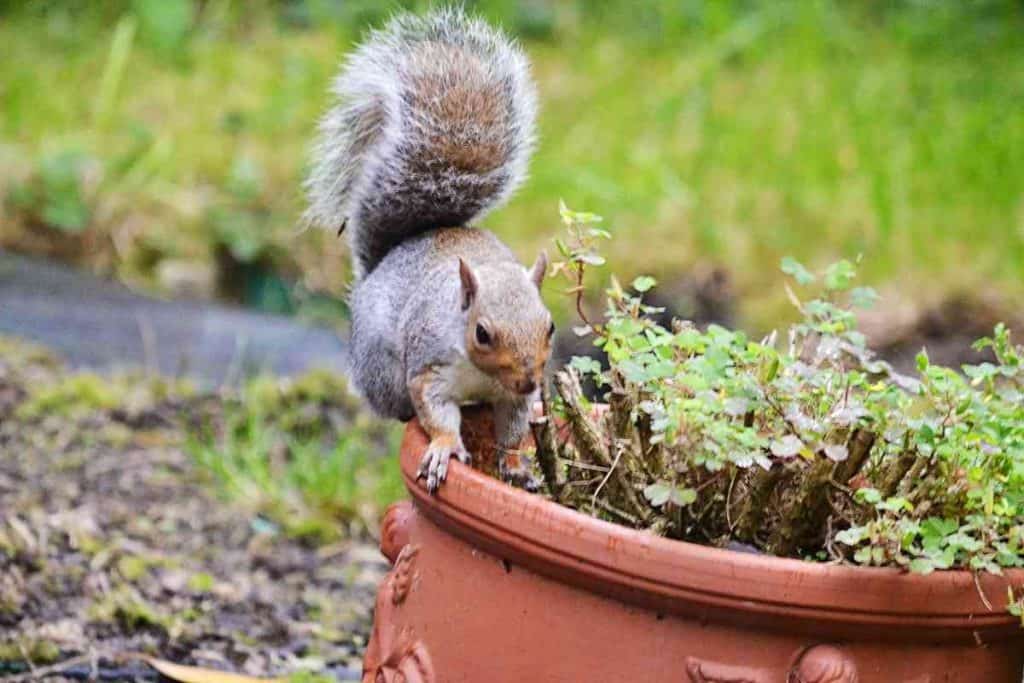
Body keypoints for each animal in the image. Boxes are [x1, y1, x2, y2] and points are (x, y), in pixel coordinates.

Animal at [303, 7, 552, 493]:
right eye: (482, 334)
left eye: (550, 326)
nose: (529, 380)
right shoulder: (428, 368)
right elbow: (436, 414)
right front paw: (443, 450)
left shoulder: (514, 399)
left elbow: (514, 431)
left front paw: (517, 466)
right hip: (381, 366)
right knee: (399, 407)